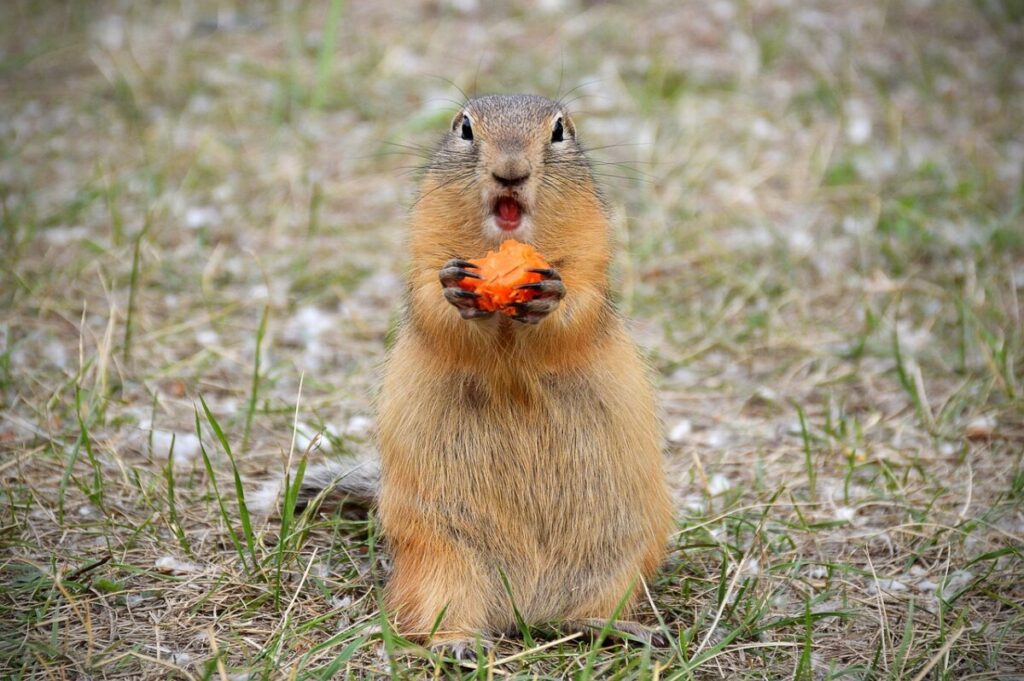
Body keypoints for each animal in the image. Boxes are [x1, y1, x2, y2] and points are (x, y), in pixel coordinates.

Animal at [264, 94, 675, 647]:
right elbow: (433, 304)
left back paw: (626, 630)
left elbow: (579, 308)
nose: (511, 172)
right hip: (443, 559)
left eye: (559, 131)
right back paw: (458, 643)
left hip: (619, 563)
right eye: (464, 129)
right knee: (431, 618)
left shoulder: (591, 260)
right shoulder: (424, 253)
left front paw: (548, 294)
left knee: (583, 614)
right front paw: (457, 291)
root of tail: (527, 610)